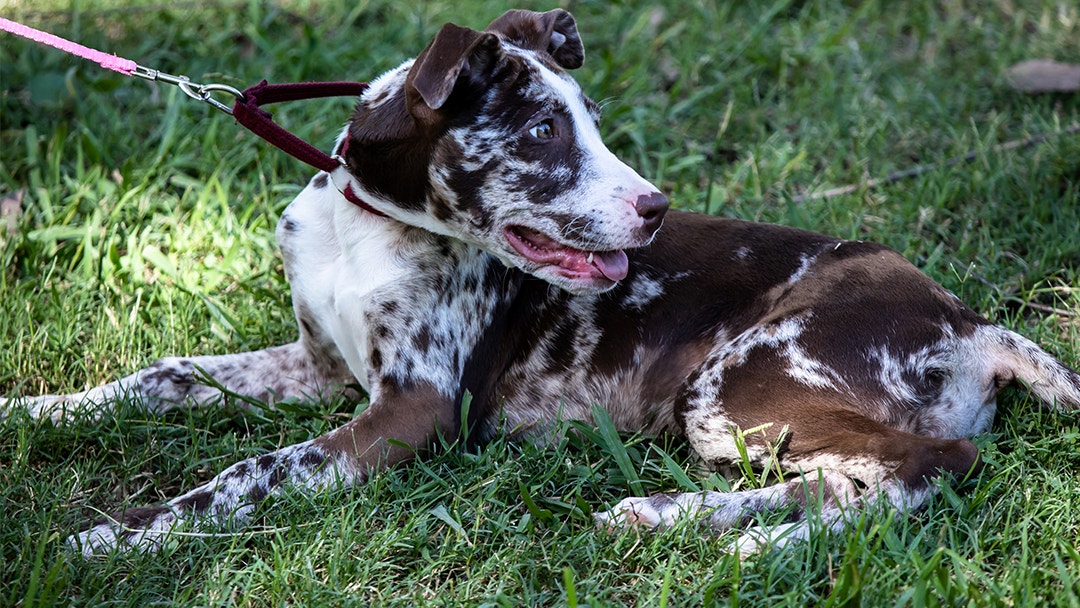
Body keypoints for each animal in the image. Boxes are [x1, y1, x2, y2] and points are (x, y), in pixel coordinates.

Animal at [2, 8, 1080, 557]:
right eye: (543, 130)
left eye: (589, 120)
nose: (654, 207)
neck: (369, 225)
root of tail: (976, 325)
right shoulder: (318, 367)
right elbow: (160, 376)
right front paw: (34, 411)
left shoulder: (414, 408)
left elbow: (252, 471)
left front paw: (122, 534)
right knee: (848, 476)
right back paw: (675, 519)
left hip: (740, 381)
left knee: (927, 466)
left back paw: (756, 547)